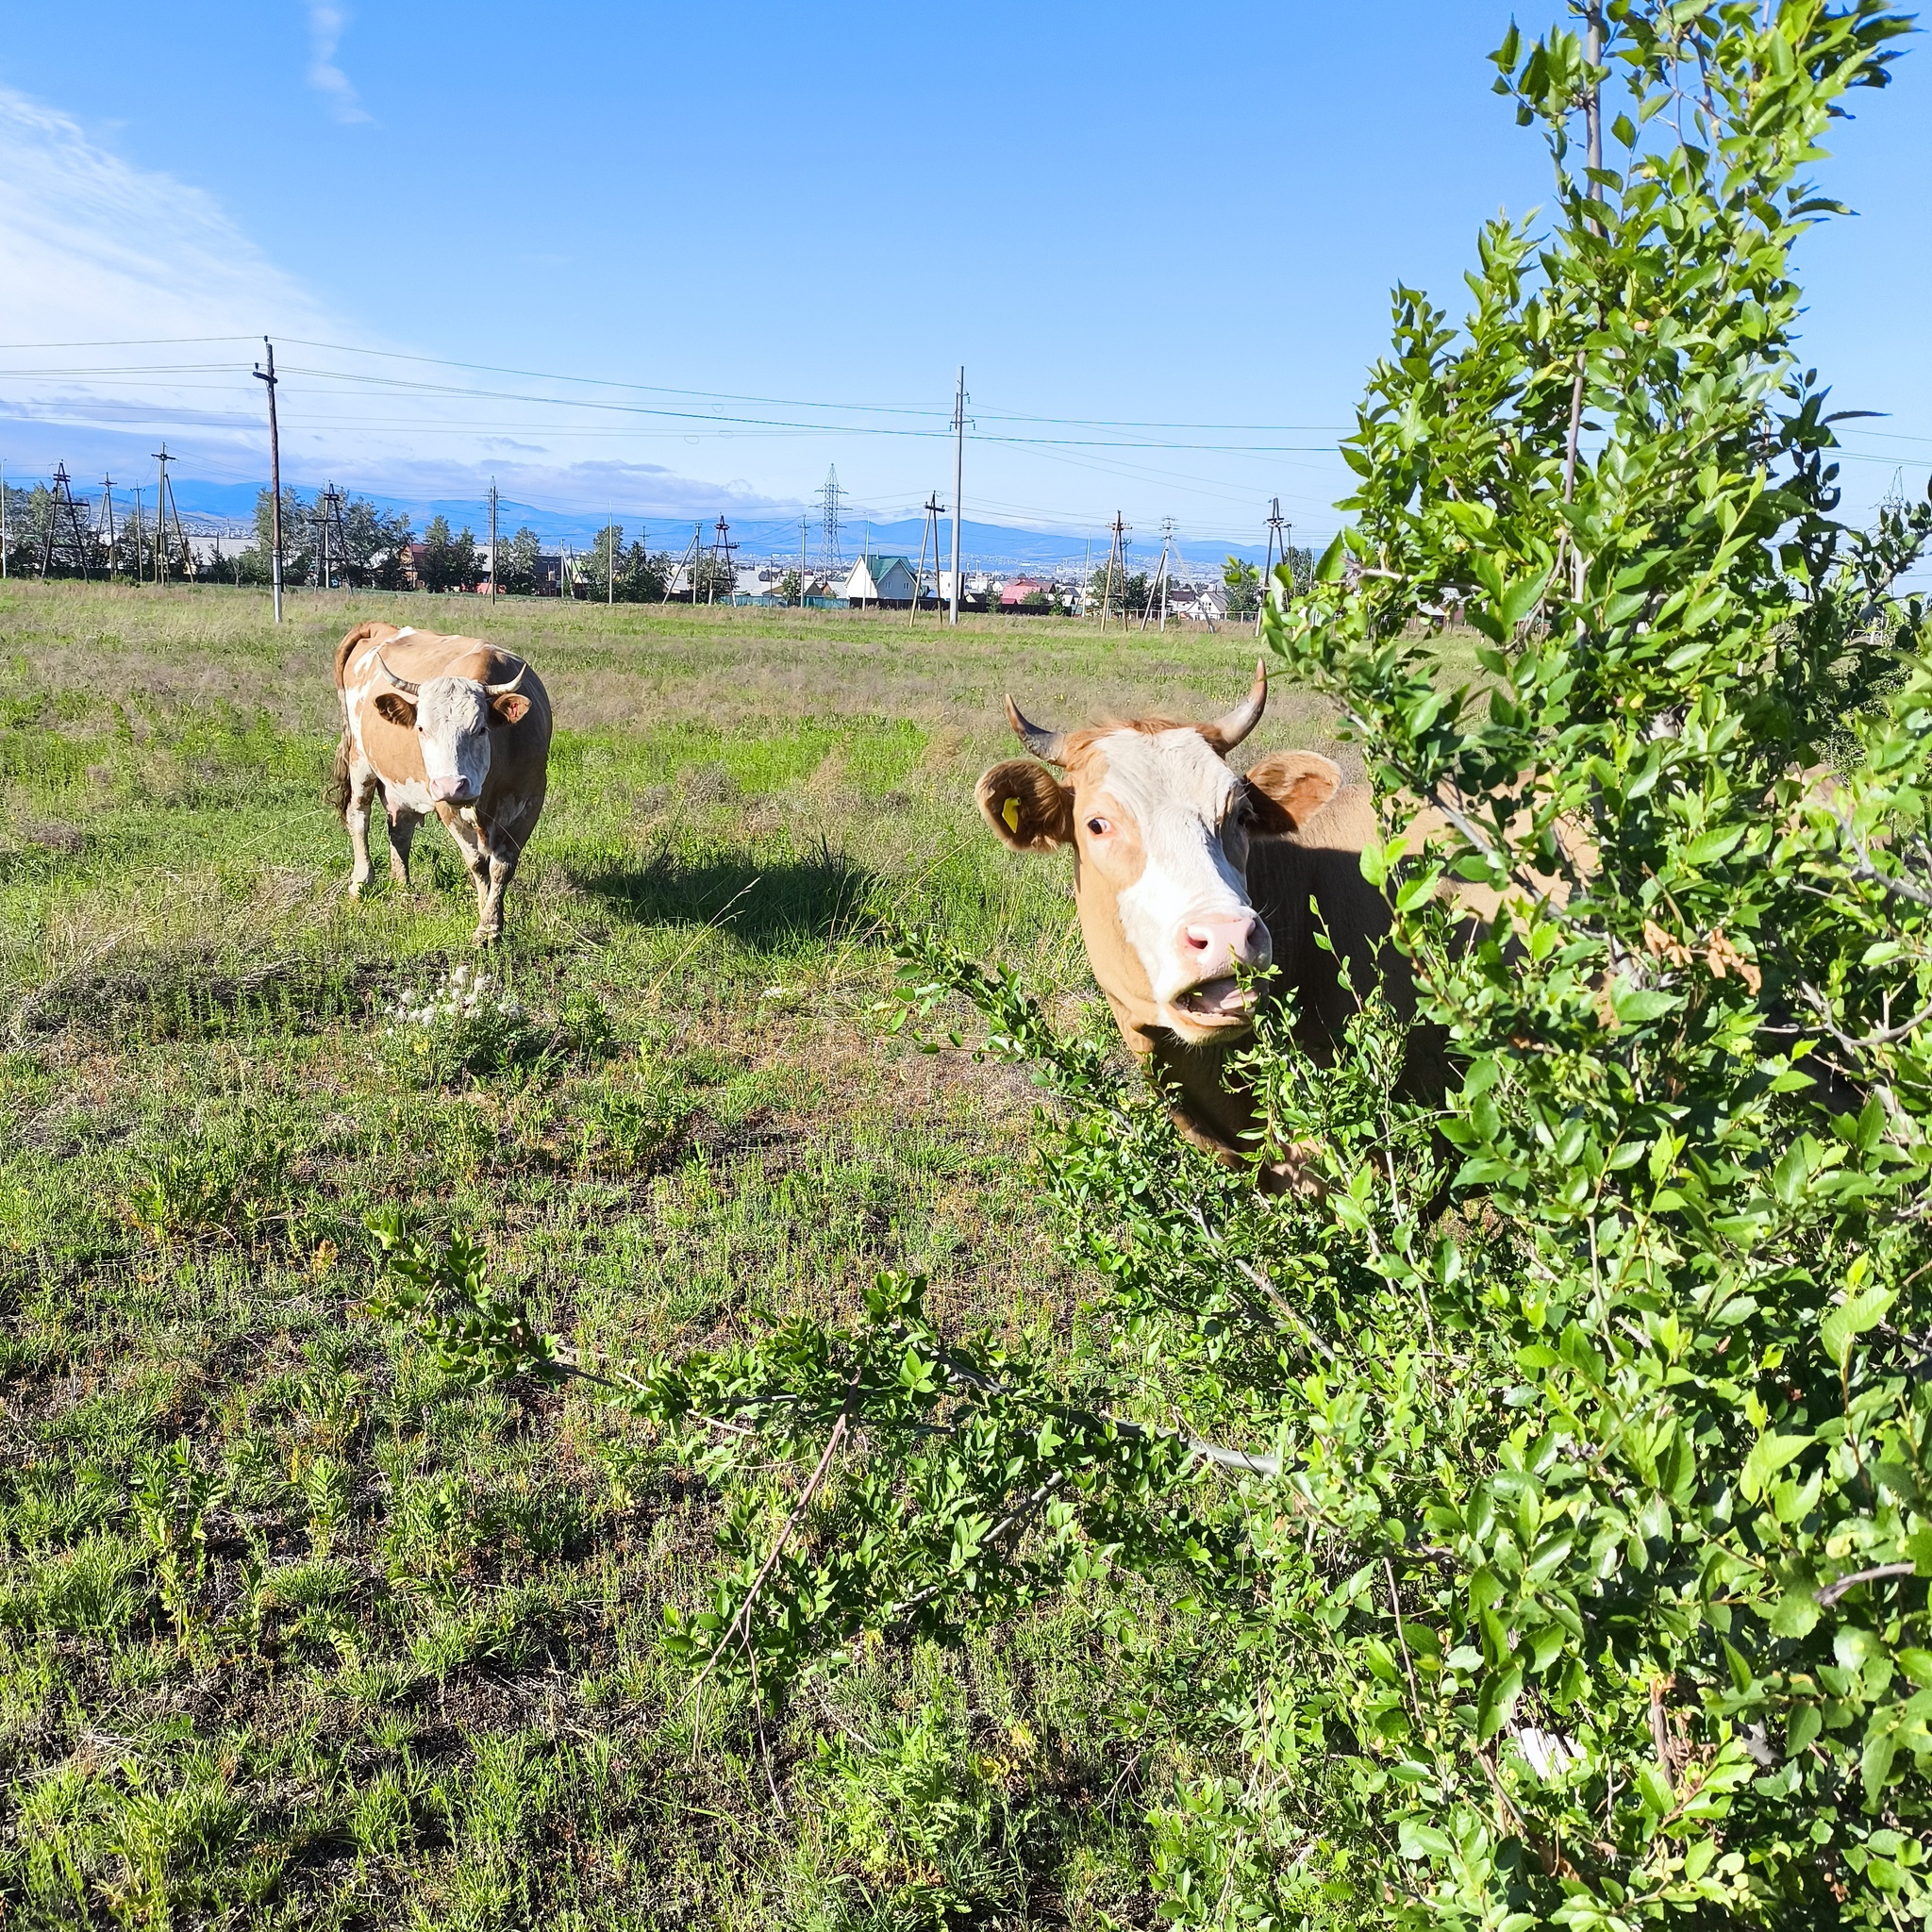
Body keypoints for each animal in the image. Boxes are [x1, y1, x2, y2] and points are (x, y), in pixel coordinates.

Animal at [332, 622, 552, 946]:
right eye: (422, 728)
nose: (452, 786)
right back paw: (361, 882)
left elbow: (502, 866)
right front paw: (486, 922)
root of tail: (380, 628)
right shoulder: (445, 805)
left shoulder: (531, 799)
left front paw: (491, 923)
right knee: (359, 817)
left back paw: (403, 887)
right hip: (360, 760)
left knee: (400, 829)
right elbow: (478, 863)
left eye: (481, 728)